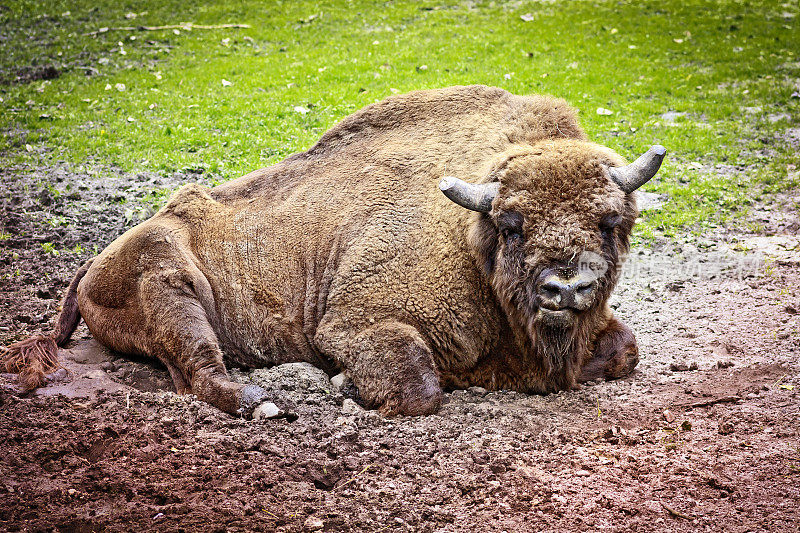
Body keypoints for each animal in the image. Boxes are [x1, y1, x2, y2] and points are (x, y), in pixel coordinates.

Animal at [3, 85, 664, 416]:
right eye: (512, 224)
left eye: (610, 222)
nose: (565, 287)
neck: (467, 236)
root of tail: (95, 260)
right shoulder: (353, 323)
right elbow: (419, 387)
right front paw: (346, 385)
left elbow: (626, 349)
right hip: (170, 284)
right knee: (199, 369)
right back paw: (260, 400)